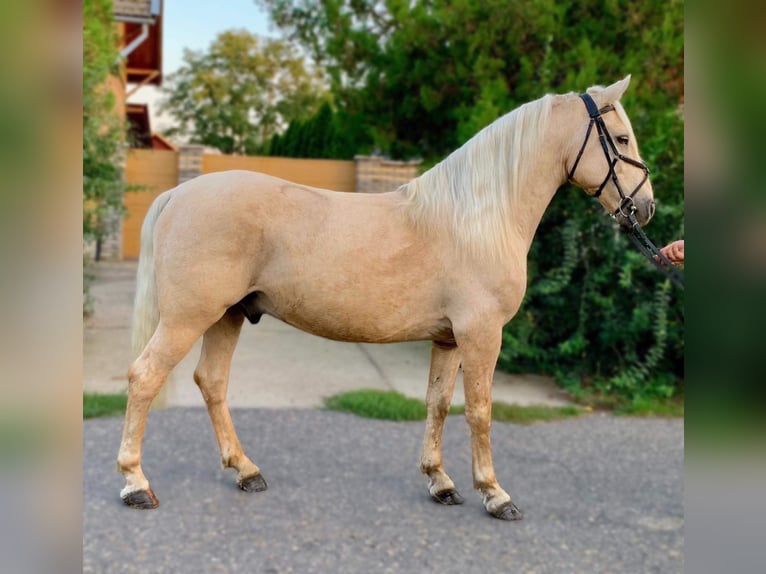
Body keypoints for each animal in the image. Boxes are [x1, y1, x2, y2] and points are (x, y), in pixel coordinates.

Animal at [117, 76, 656, 520]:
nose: (646, 207)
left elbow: (438, 405)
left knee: (211, 382)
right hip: (189, 318)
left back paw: (246, 471)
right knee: (145, 376)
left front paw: (440, 483)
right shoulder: (482, 334)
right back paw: (136, 484)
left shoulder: (450, 339)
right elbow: (480, 410)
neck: (478, 218)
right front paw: (495, 494)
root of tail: (179, 194)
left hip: (226, 316)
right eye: (622, 139)